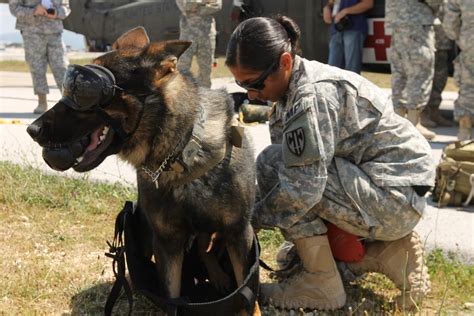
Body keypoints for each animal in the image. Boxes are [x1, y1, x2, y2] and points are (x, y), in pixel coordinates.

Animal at [27, 27, 258, 314]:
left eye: (85, 92)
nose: (32, 129)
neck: (181, 156)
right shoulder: (167, 244)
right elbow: (171, 296)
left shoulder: (238, 233)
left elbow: (248, 292)